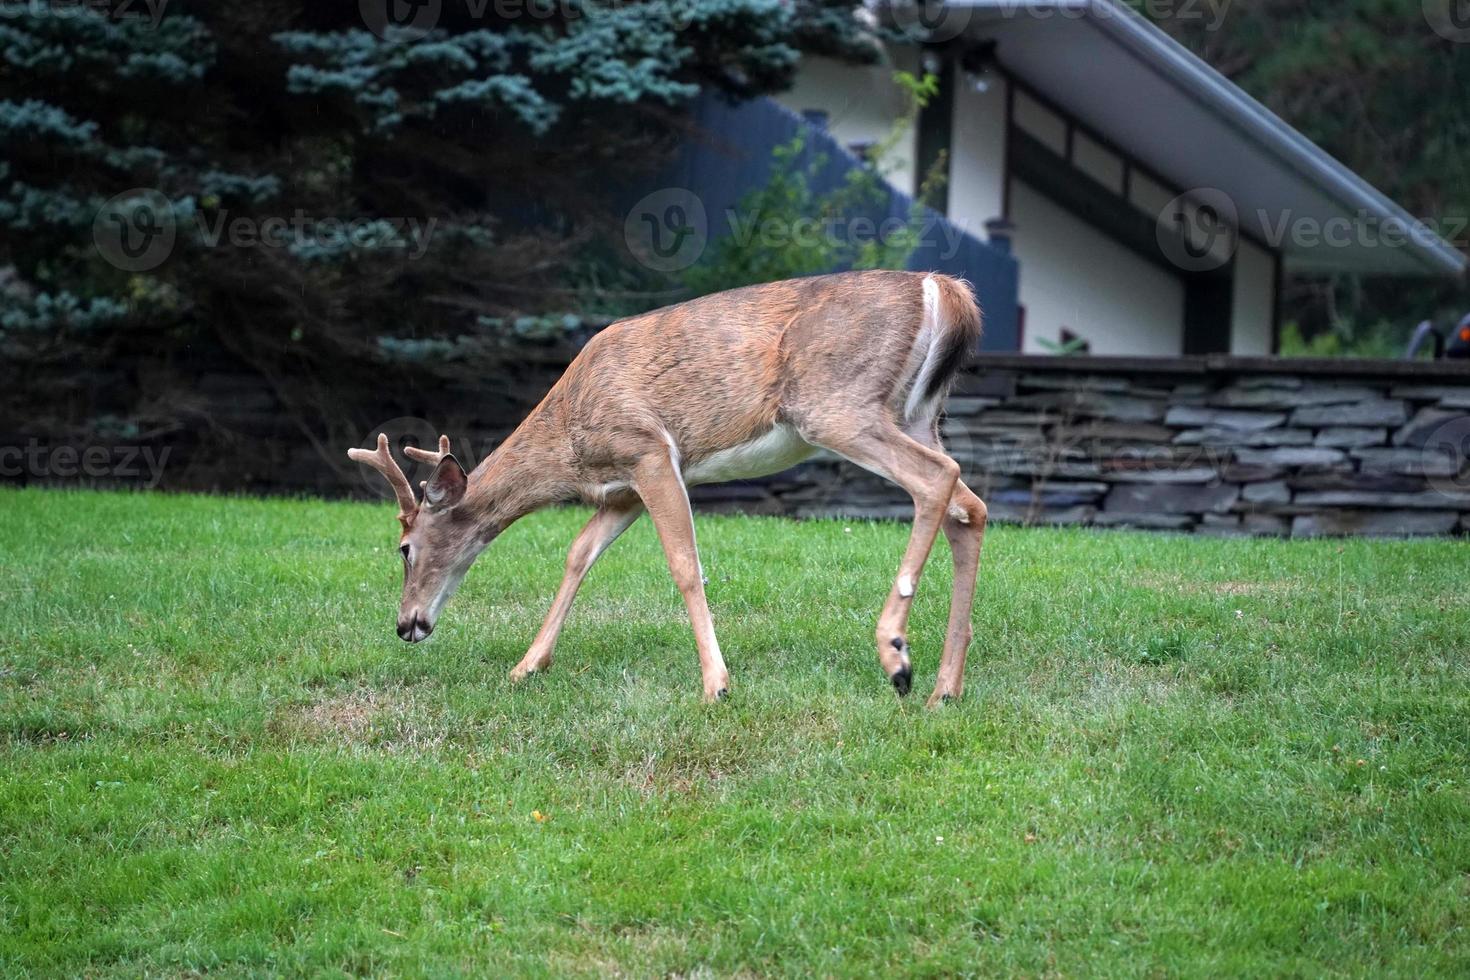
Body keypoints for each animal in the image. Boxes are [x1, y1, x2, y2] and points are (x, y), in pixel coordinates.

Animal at [348, 271, 981, 708]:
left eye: (404, 549)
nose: (406, 625)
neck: (569, 439)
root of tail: (943, 289)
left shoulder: (648, 450)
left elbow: (683, 563)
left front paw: (716, 685)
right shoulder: (622, 487)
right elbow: (577, 554)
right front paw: (527, 666)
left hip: (836, 405)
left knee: (937, 480)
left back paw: (896, 653)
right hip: (917, 413)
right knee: (968, 507)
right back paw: (944, 689)